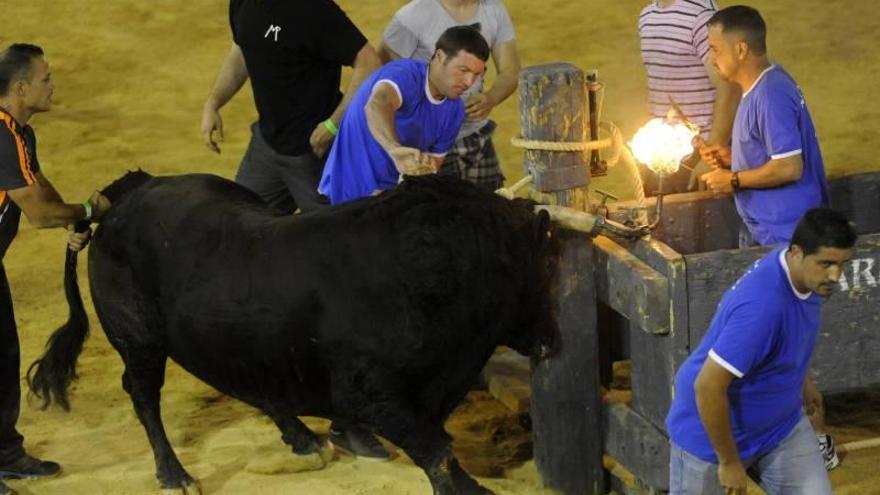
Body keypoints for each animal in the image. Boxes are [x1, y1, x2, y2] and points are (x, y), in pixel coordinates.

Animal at [32, 172, 564, 494]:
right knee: (143, 395)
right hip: (138, 340)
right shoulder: (376, 397)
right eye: (541, 269)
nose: (549, 340)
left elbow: (439, 448)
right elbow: (438, 453)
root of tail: (130, 192)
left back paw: (304, 438)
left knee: (254, 382)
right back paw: (174, 474)